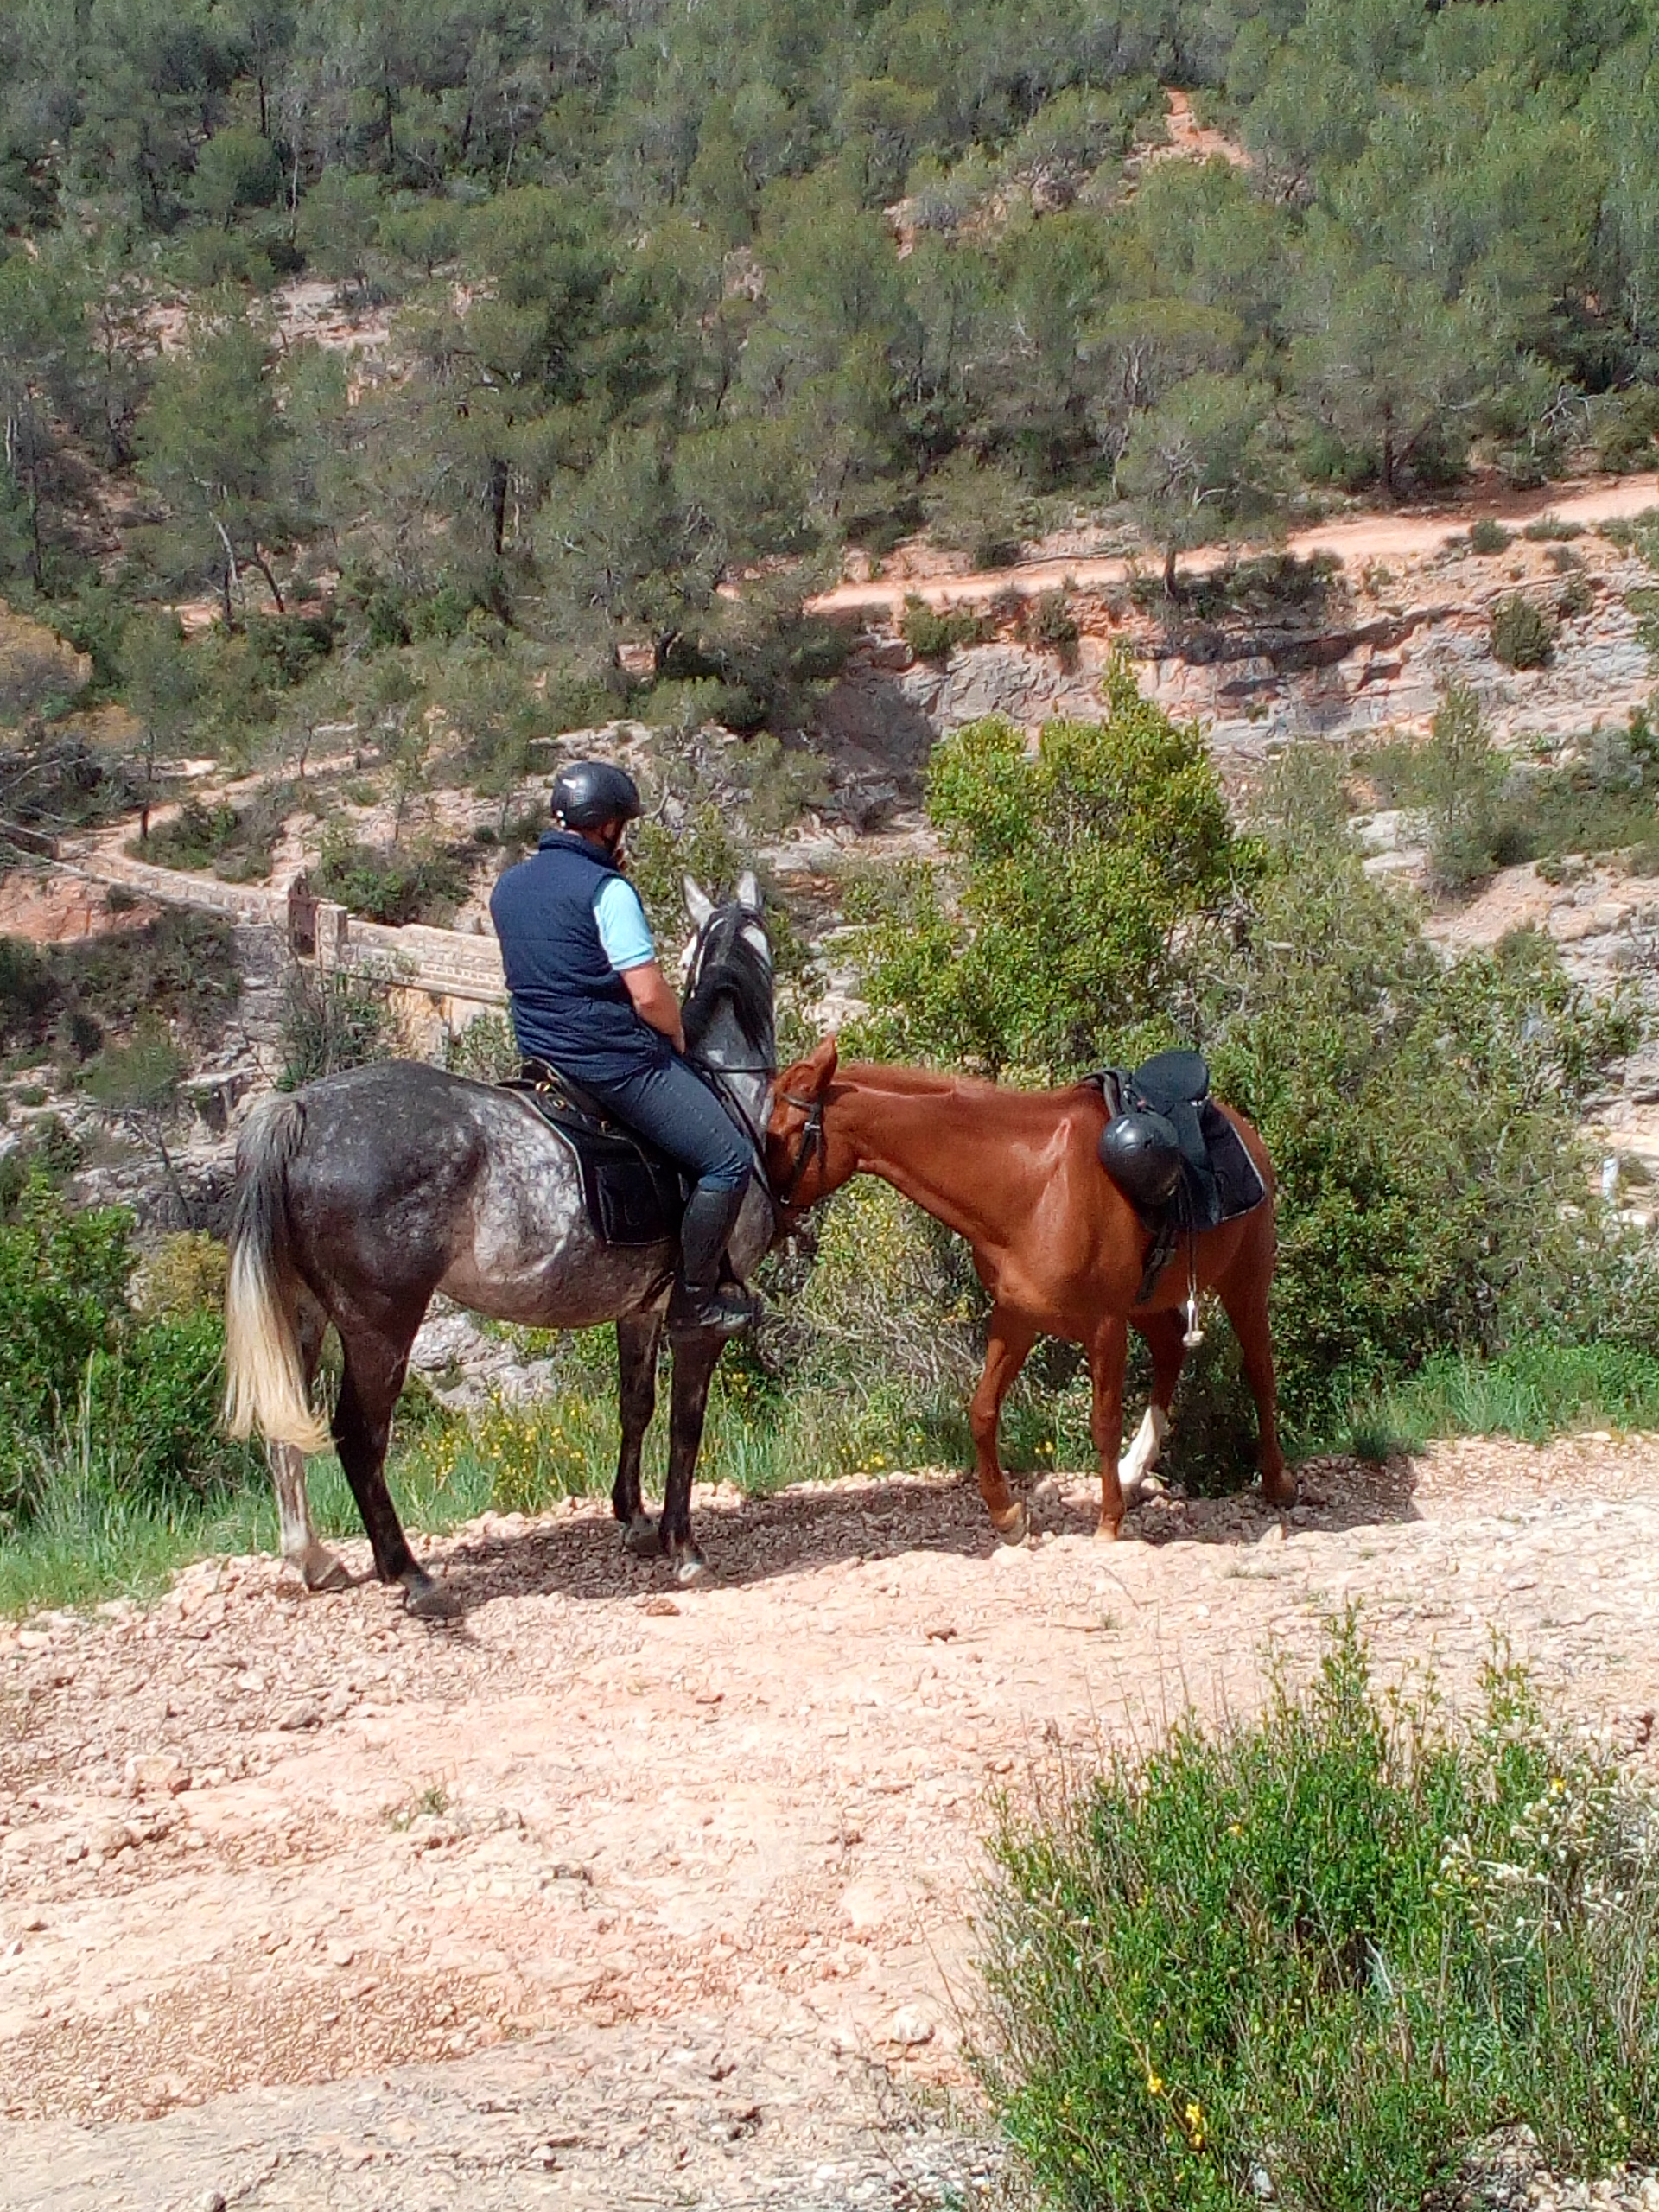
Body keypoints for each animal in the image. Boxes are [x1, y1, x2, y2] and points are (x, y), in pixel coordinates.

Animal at [222, 877, 777, 1610]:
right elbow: (687, 1422)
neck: (722, 1088)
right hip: (380, 1325)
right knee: (359, 1437)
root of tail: (299, 1109)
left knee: (285, 1427)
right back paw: (410, 1575)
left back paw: (312, 1559)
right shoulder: (699, 1321)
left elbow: (636, 1407)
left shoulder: (642, 1310)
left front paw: (633, 1518)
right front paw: (682, 1545)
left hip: (301, 1312)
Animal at [766, 1038, 1294, 1544]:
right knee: (1171, 1350)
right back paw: (1133, 1472)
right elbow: (982, 1412)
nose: (769, 1215)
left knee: (1260, 1369)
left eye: (784, 1134)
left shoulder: (1104, 1325)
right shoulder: (1016, 1317)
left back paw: (1276, 1483)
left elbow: (1103, 1422)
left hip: (1244, 1281)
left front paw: (1108, 1522)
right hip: (1147, 1300)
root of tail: (1242, 1127)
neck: (1033, 1186)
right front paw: (1007, 1516)